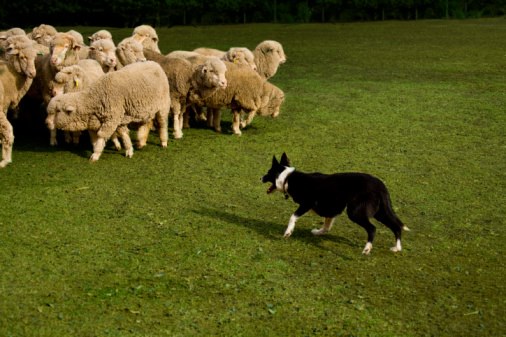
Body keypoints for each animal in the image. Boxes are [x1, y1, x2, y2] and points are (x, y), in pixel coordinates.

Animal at [0, 35, 37, 167]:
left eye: (35, 57)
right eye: (22, 57)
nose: (33, 73)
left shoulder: (4, 105)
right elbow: (7, 130)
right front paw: (5, 160)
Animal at [260, 153, 408, 255]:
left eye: (268, 173)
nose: (260, 178)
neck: (288, 178)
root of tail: (380, 185)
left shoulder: (306, 204)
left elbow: (292, 217)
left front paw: (288, 232)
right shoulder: (330, 209)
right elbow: (326, 226)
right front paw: (318, 232)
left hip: (355, 212)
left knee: (372, 228)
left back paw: (367, 249)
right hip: (380, 212)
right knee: (396, 226)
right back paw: (397, 248)